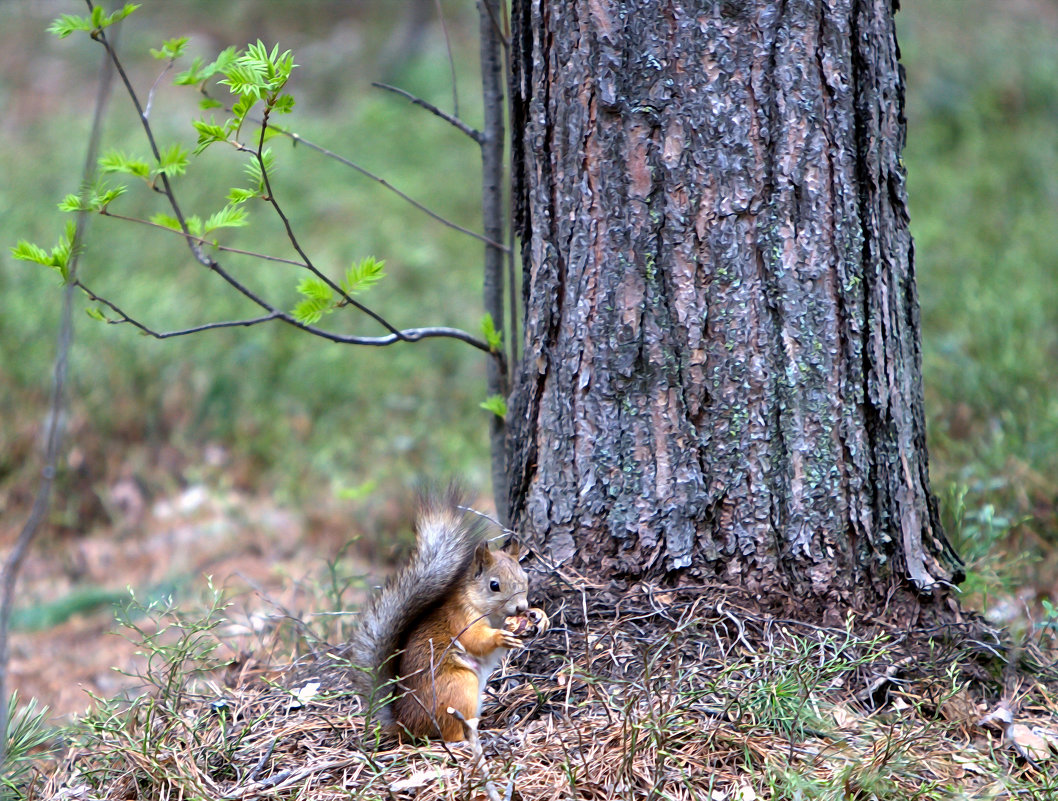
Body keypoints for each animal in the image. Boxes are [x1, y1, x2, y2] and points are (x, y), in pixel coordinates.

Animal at [349, 490, 545, 740]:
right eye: (494, 585)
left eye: (525, 578)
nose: (521, 608)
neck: (494, 615)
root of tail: (405, 723)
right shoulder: (461, 617)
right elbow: (475, 639)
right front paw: (499, 636)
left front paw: (539, 615)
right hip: (458, 687)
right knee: (451, 731)